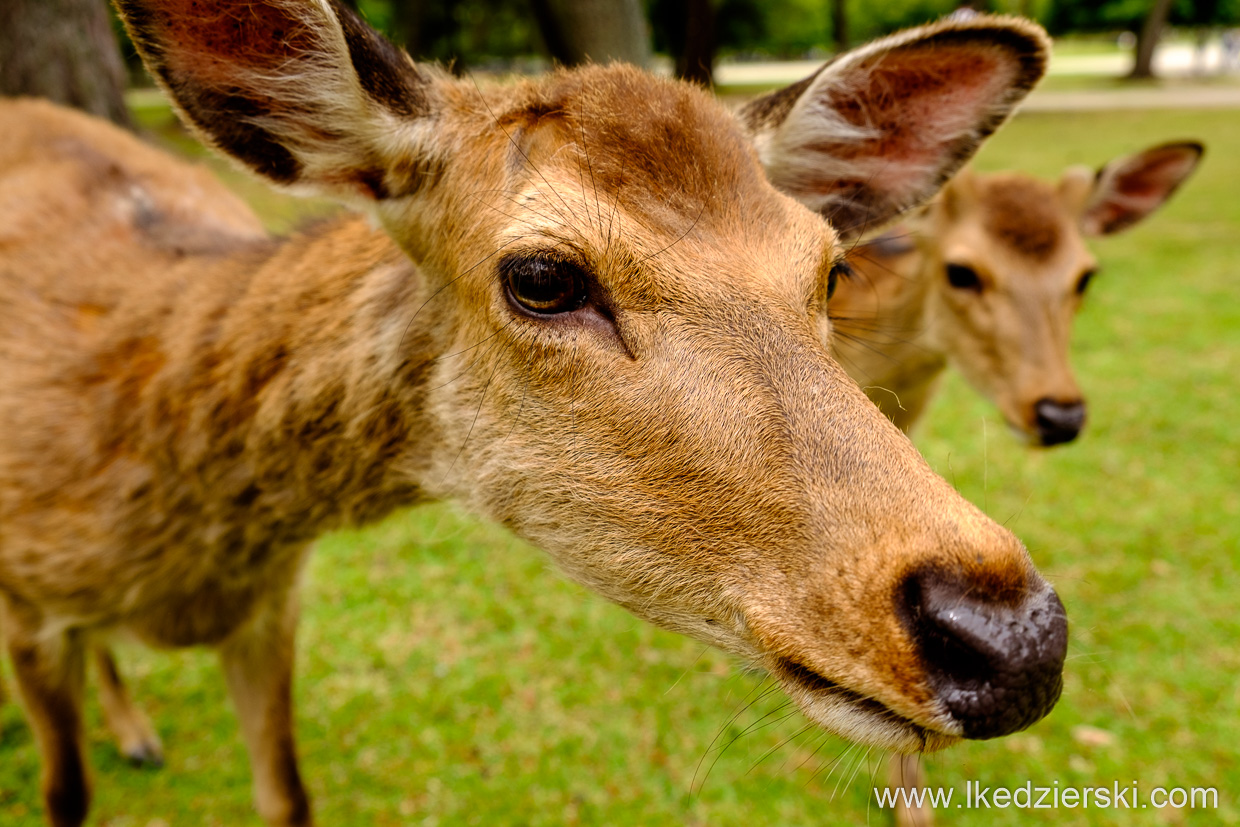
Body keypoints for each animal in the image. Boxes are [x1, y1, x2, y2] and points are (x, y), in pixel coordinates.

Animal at [0, 3, 1066, 823]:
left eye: (832, 267)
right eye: (544, 277)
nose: (1014, 637)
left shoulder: (273, 603)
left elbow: (287, 797)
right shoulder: (26, 608)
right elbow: (63, 794)